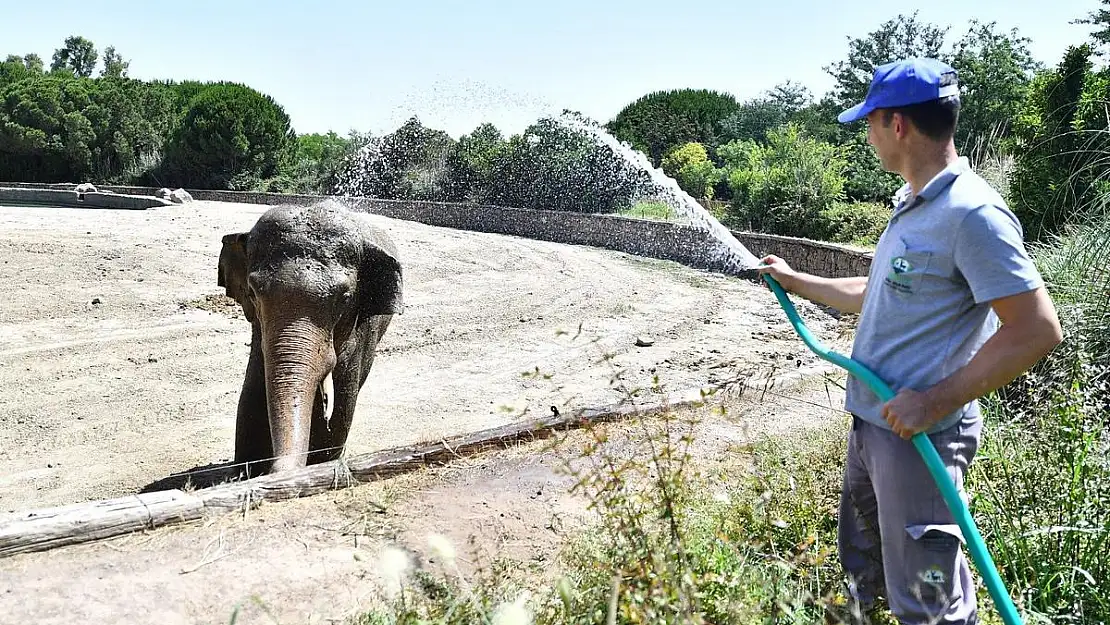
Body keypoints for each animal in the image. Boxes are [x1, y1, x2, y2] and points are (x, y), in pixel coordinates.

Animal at [216, 203, 404, 477]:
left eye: (345, 298)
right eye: (252, 292)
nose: (277, 471)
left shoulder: (360, 329)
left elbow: (344, 400)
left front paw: (319, 464)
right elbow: (253, 389)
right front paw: (245, 472)